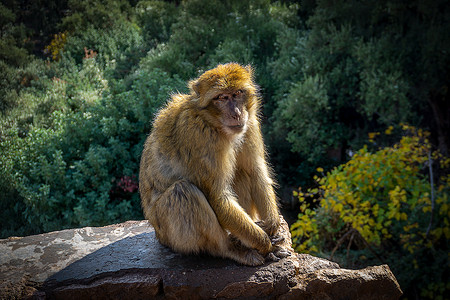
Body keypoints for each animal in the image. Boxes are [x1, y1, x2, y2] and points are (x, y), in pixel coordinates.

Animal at [139, 62, 290, 264]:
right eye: (222, 98)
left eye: (237, 93)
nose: (236, 114)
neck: (213, 123)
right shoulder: (199, 137)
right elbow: (218, 196)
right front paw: (266, 244)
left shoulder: (250, 124)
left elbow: (256, 173)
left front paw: (272, 225)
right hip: (168, 235)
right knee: (182, 192)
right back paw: (232, 249)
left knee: (241, 173)